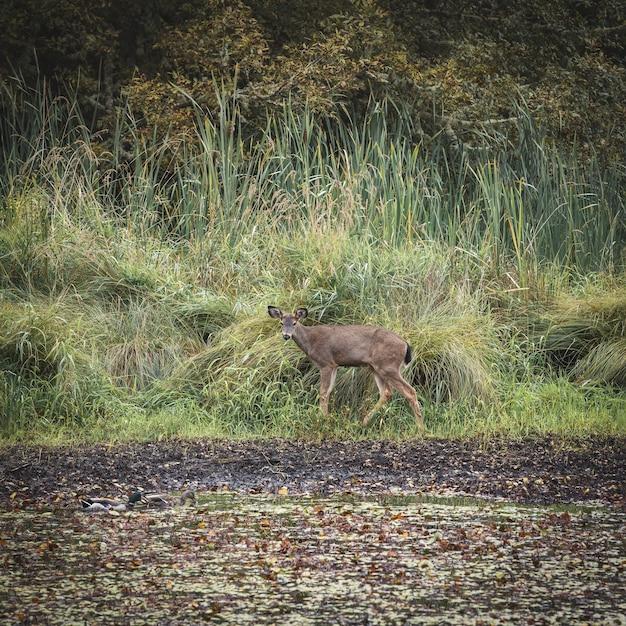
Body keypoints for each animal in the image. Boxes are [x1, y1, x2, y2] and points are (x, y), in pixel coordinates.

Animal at [266, 304, 422, 426]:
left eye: (294, 323)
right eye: (281, 323)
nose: (286, 336)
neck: (310, 341)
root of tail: (405, 344)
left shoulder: (325, 363)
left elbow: (323, 392)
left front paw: (322, 419)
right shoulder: (334, 365)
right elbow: (329, 391)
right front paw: (326, 417)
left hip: (389, 366)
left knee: (410, 391)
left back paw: (420, 427)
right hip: (376, 367)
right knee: (386, 392)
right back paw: (364, 422)